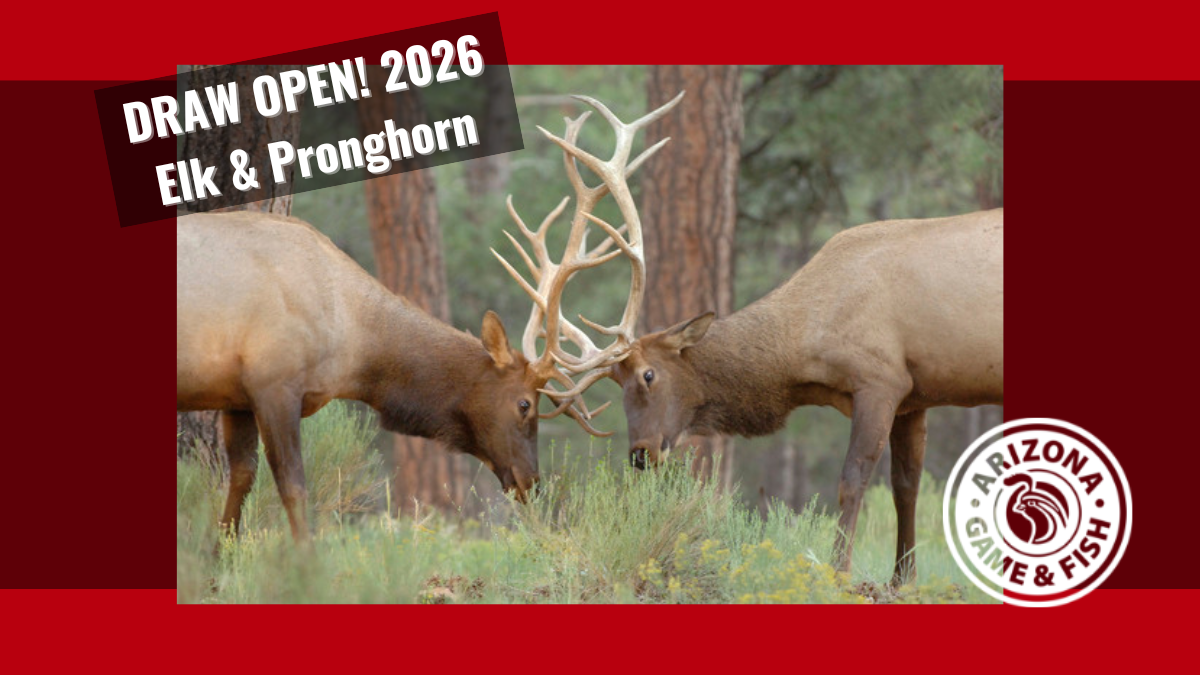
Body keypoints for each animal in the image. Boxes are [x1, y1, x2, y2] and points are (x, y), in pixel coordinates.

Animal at [177, 94, 683, 545]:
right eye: (525, 404)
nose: (532, 483)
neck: (348, 340)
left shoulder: (237, 395)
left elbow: (239, 483)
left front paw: (220, 565)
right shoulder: (275, 382)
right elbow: (293, 489)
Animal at [503, 113, 1003, 583]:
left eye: (648, 374)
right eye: (616, 382)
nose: (640, 454)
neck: (803, 351)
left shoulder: (881, 380)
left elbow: (853, 479)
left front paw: (839, 571)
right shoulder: (914, 395)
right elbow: (907, 486)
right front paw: (903, 579)